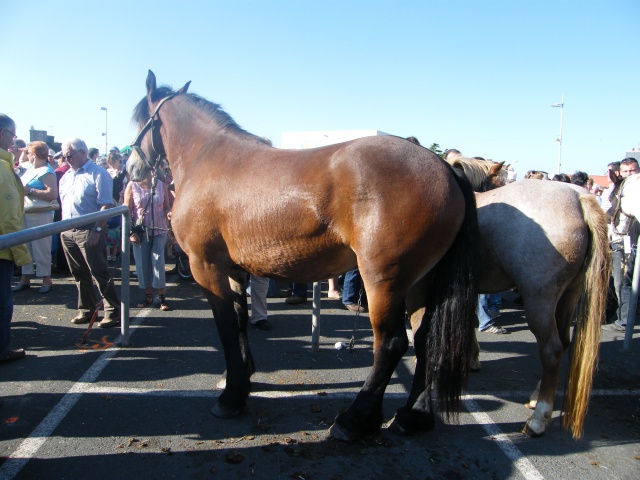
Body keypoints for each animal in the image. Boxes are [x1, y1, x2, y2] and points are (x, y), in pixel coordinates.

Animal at [129, 69, 480, 440]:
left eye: (139, 119)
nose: (132, 167)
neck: (206, 156)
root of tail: (444, 167)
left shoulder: (206, 266)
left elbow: (225, 328)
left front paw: (231, 397)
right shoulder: (233, 269)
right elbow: (239, 323)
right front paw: (241, 380)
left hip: (384, 280)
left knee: (391, 344)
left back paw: (354, 419)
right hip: (422, 282)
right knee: (426, 341)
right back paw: (413, 416)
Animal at [444, 158, 608, 438]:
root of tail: (579, 197)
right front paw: (471, 358)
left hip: (539, 300)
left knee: (552, 348)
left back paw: (539, 418)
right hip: (568, 295)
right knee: (563, 342)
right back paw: (536, 396)